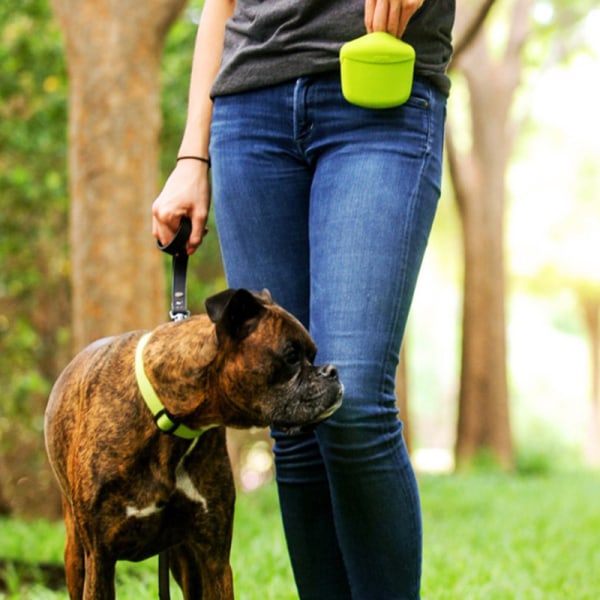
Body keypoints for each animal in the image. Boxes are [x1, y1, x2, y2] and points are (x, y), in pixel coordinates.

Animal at [44, 288, 340, 596]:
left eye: (313, 355)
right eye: (291, 357)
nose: (332, 371)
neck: (168, 420)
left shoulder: (214, 559)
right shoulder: (100, 559)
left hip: (185, 559)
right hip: (77, 554)